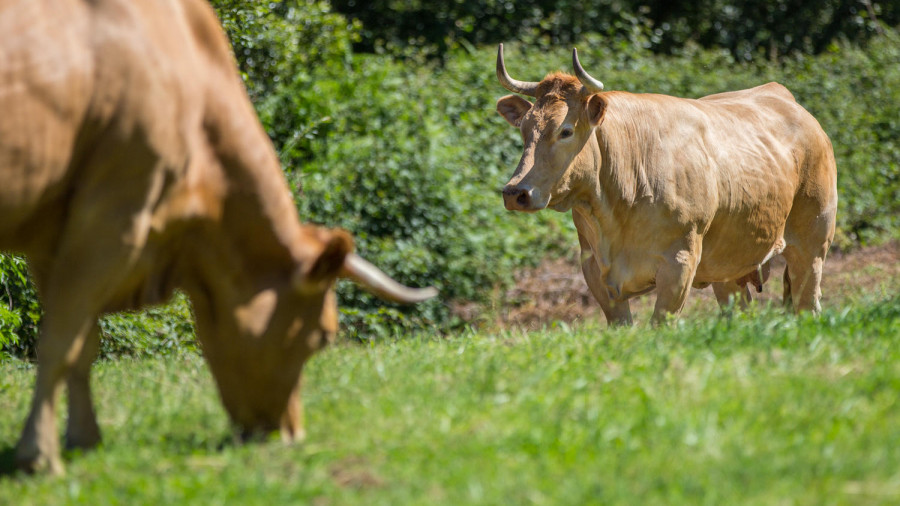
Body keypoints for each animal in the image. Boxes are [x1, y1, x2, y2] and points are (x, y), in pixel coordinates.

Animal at [0, 0, 436, 474]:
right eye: (322, 337)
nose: (291, 433)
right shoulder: (116, 212)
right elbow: (61, 342)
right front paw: (40, 455)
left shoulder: (54, 236)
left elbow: (82, 344)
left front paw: (84, 439)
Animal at [492, 45, 836, 326]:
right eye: (524, 128)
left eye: (565, 130)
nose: (515, 192)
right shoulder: (594, 269)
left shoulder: (679, 264)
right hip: (729, 263)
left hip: (812, 242)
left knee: (808, 303)